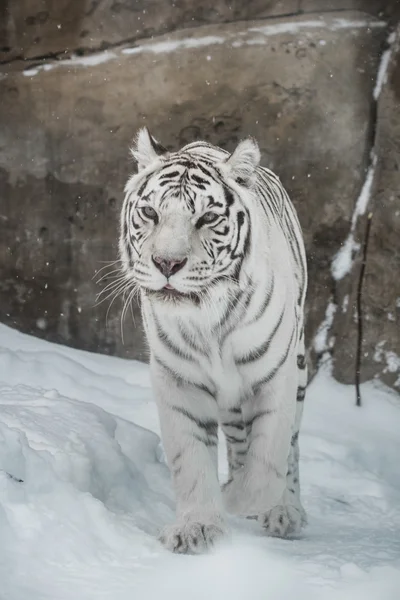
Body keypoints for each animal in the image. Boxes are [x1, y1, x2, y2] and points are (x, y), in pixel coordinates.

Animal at [118, 129, 306, 556]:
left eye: (206, 218)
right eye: (150, 213)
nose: (167, 263)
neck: (207, 319)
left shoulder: (276, 377)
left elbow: (268, 460)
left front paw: (238, 499)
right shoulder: (179, 379)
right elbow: (191, 459)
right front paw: (197, 528)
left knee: (289, 448)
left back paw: (285, 512)